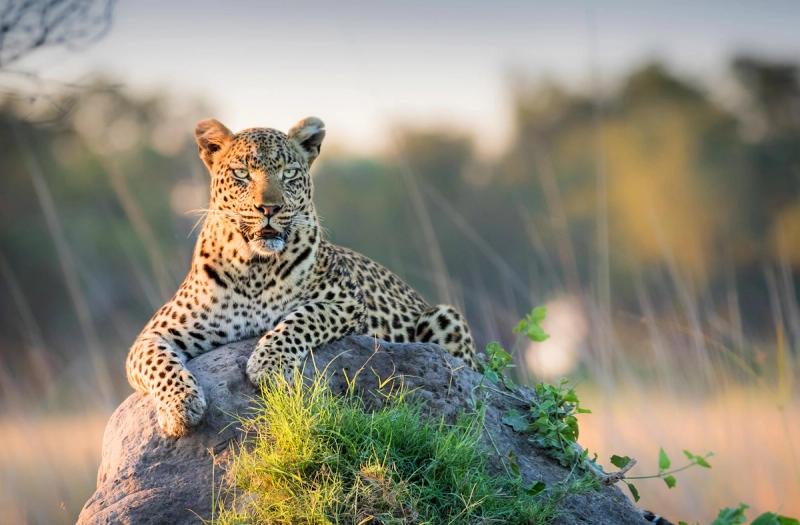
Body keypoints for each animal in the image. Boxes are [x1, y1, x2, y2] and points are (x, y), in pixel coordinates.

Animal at [125, 116, 477, 437]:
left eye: (289, 173)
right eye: (242, 173)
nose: (269, 208)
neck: (254, 266)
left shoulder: (347, 301)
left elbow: (301, 318)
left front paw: (267, 365)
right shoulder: (154, 333)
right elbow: (157, 361)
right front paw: (180, 407)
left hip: (444, 317)